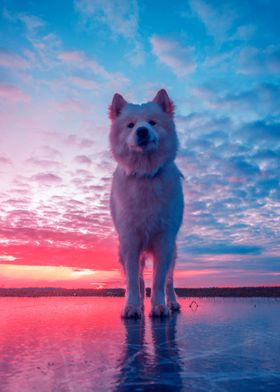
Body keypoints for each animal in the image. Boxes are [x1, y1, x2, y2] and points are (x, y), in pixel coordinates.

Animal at [109, 89, 184, 318]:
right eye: (131, 125)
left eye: (152, 122)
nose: (142, 131)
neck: (145, 174)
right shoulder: (130, 241)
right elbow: (134, 281)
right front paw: (132, 306)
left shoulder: (164, 241)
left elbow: (159, 280)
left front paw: (159, 306)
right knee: (140, 280)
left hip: (173, 252)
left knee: (169, 281)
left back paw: (172, 303)